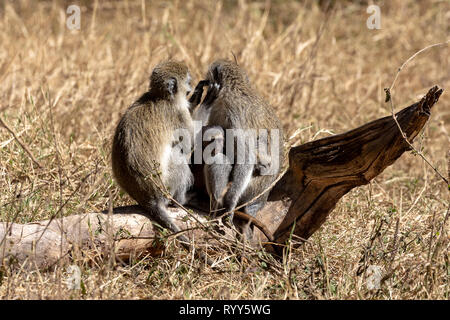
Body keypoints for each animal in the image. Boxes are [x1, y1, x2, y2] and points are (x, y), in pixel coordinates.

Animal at [111, 61, 194, 252]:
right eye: (188, 81)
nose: (191, 88)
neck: (160, 97)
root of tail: (150, 199)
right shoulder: (180, 113)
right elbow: (188, 146)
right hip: (167, 185)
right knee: (179, 157)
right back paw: (181, 200)